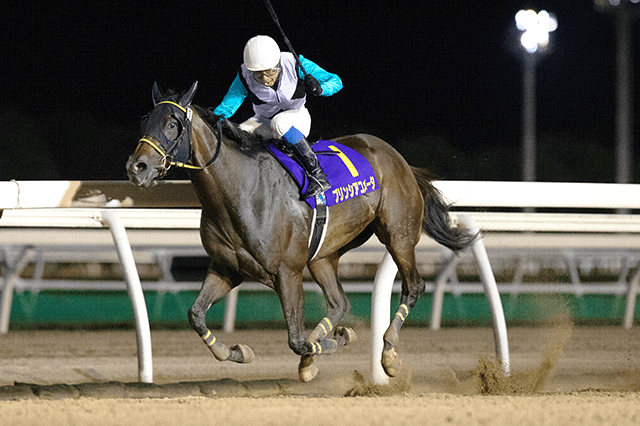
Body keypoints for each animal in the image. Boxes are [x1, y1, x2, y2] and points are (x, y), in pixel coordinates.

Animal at [126, 81, 476, 382]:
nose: (137, 167)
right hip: (323, 255)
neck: (239, 191)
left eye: (172, 123)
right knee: (339, 303)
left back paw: (388, 354)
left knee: (413, 286)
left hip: (398, 234)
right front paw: (239, 352)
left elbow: (296, 339)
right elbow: (195, 314)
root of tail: (397, 158)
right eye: (144, 120)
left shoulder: (287, 272)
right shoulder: (228, 268)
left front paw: (334, 342)